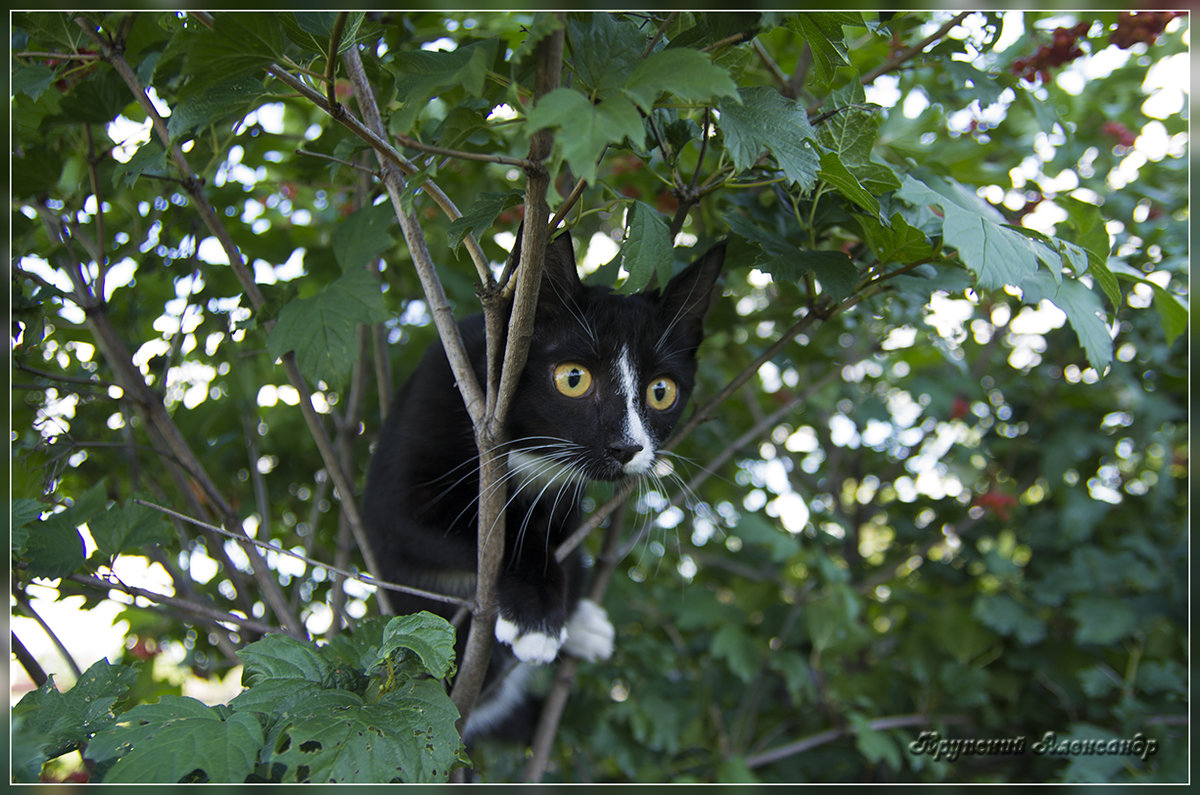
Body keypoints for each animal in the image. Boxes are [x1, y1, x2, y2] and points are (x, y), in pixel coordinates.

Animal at [360, 231, 724, 739]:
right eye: (573, 378)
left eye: (661, 391)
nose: (626, 446)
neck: (529, 449)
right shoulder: (399, 491)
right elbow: (480, 532)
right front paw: (536, 615)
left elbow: (556, 536)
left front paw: (559, 606)